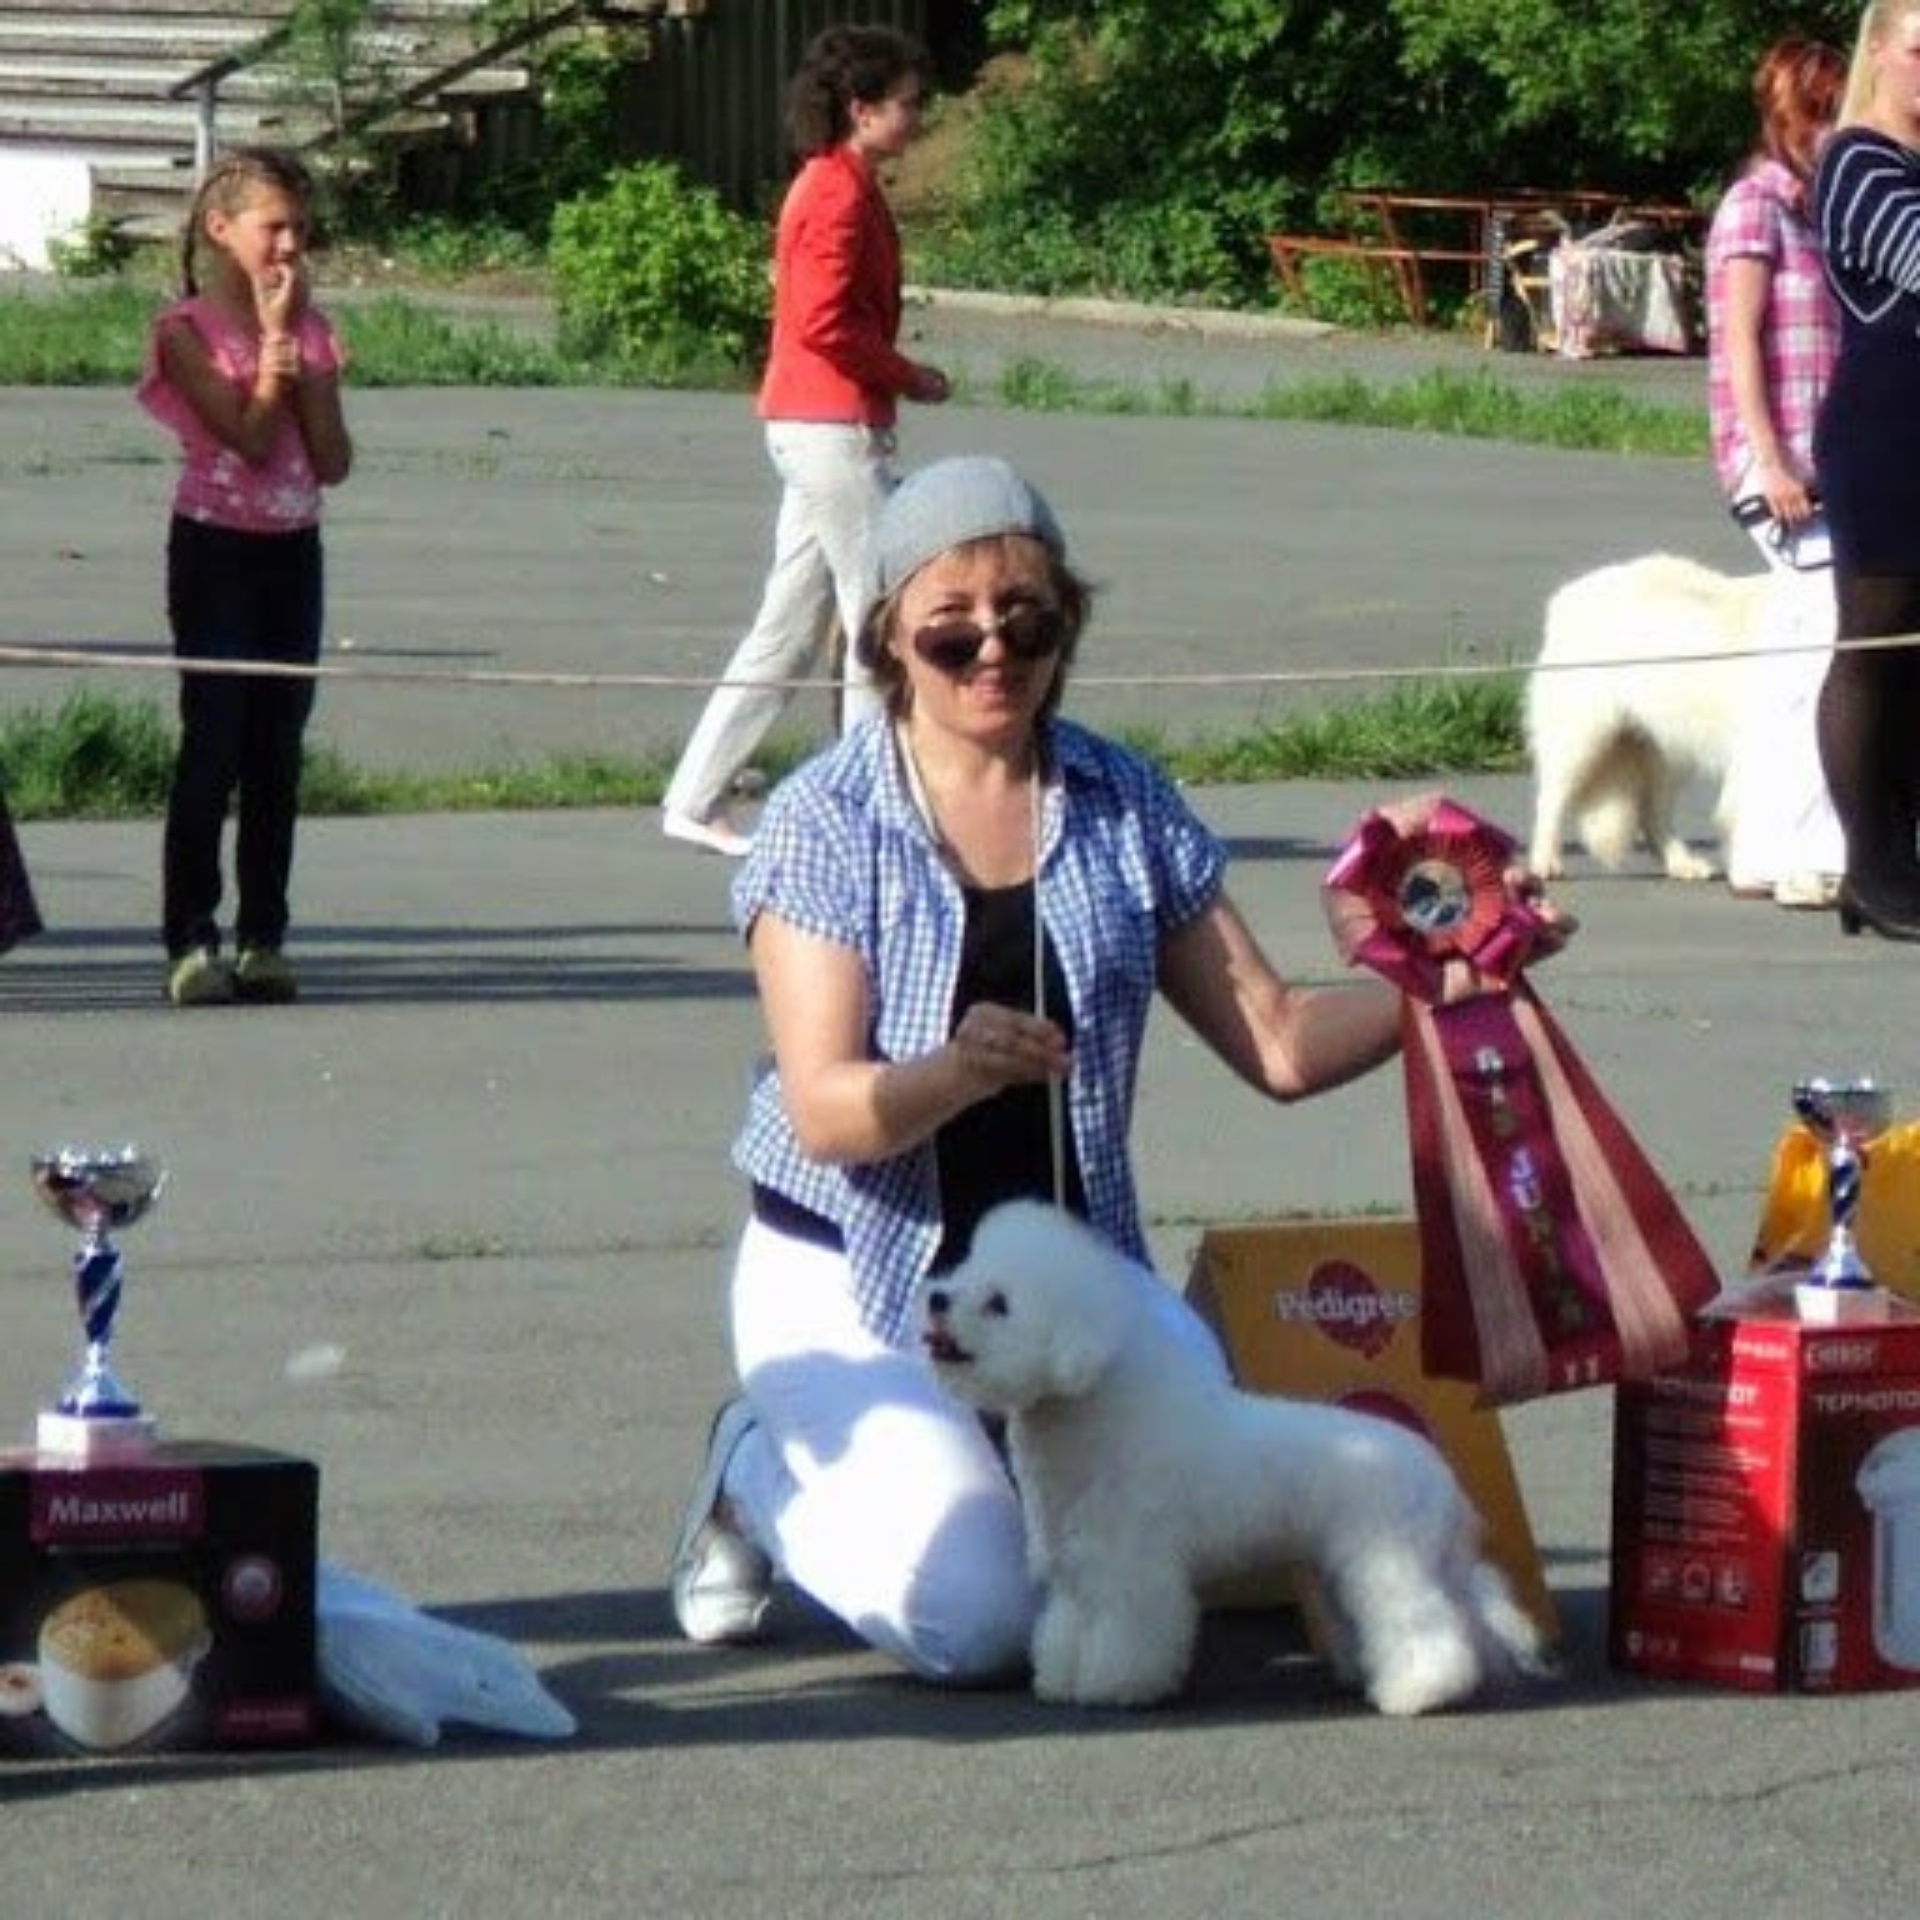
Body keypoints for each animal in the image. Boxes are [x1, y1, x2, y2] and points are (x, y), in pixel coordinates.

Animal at [913, 1205, 1543, 1720]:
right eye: (964, 1267)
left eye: (999, 1303)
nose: (937, 1299)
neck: (1092, 1419)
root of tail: (1437, 1475)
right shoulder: (1076, 1567)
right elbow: (1065, 1628)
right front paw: (1060, 1681)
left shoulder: (1131, 1569)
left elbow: (1128, 1633)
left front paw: (1112, 1687)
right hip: (1346, 1565)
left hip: (1388, 1558)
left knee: (1422, 1622)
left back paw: (1419, 1691)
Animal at [1520, 552, 1758, 879]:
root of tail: (1565, 596)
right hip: (1584, 736)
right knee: (1551, 798)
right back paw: (1546, 862)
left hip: (1668, 748)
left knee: (1653, 813)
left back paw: (1681, 863)